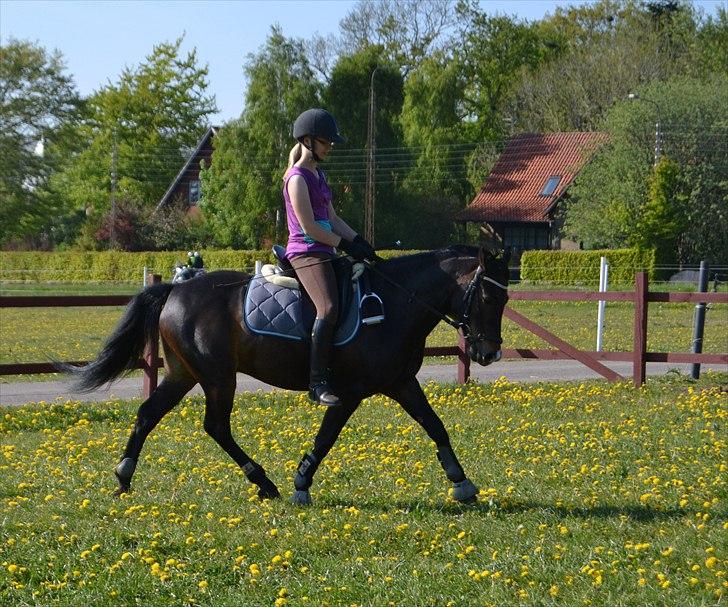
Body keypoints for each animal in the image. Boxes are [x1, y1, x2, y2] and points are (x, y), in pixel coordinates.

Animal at [68, 245, 512, 506]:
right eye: (489, 295)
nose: (489, 352)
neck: (394, 303)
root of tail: (175, 291)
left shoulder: (401, 382)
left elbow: (435, 426)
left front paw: (461, 483)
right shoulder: (350, 392)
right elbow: (326, 437)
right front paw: (302, 482)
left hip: (184, 373)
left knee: (148, 413)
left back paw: (124, 476)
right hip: (217, 377)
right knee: (215, 426)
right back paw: (263, 482)